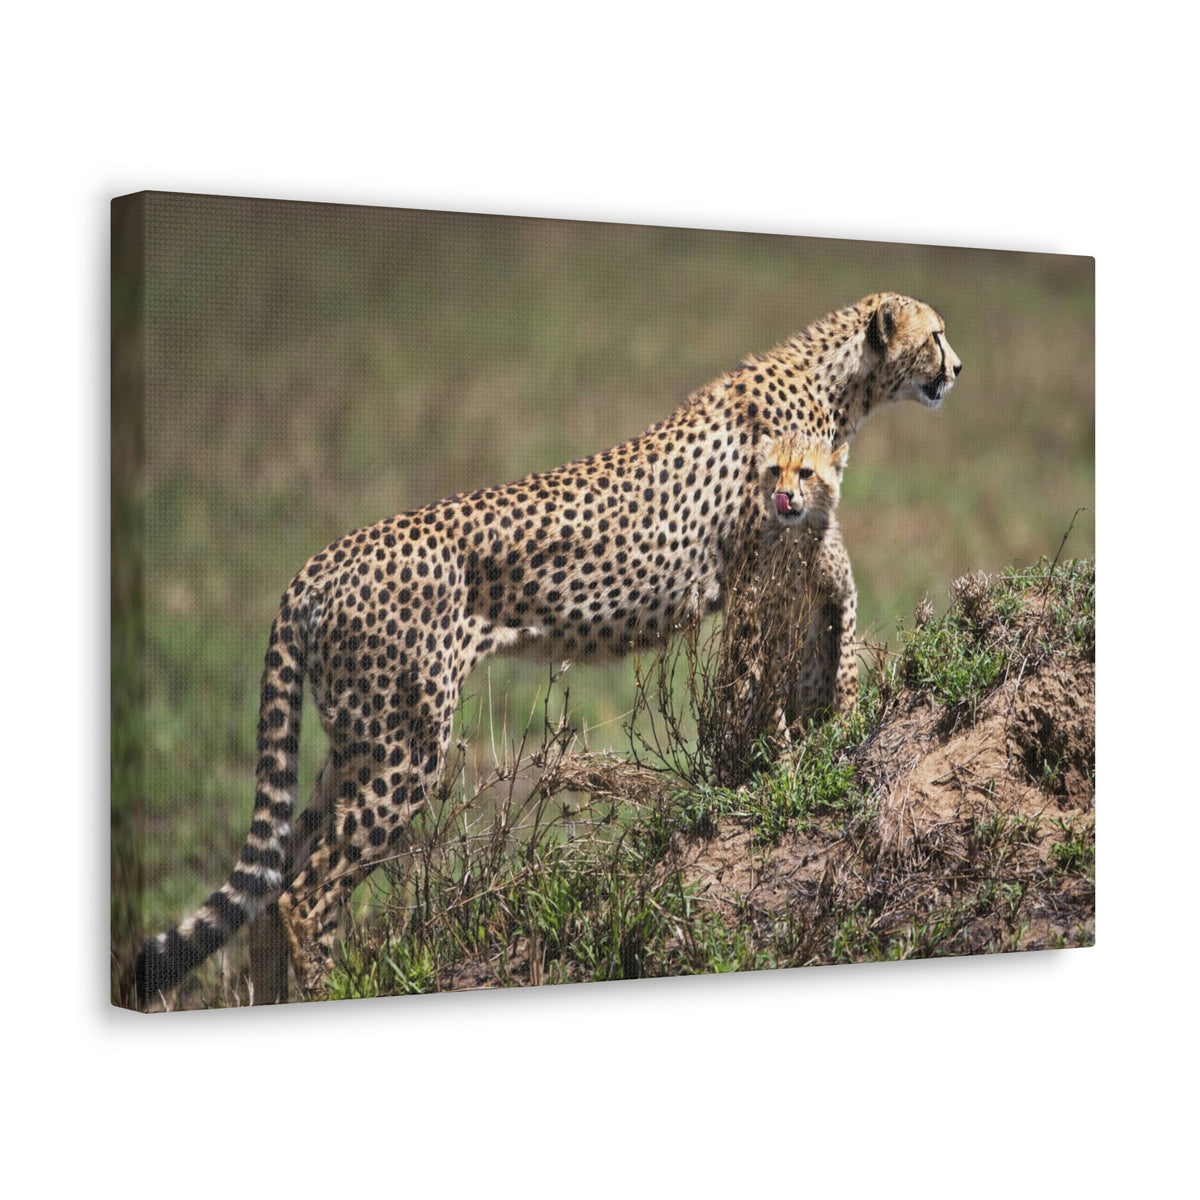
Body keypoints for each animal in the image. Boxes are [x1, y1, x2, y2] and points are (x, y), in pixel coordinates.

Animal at [136, 291, 962, 1005]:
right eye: (937, 334)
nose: (956, 368)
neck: (837, 381)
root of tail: (314, 564)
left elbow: (815, 649)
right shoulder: (758, 580)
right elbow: (754, 687)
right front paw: (756, 778)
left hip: (357, 738)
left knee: (278, 880)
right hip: (405, 744)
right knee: (308, 890)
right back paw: (329, 992)